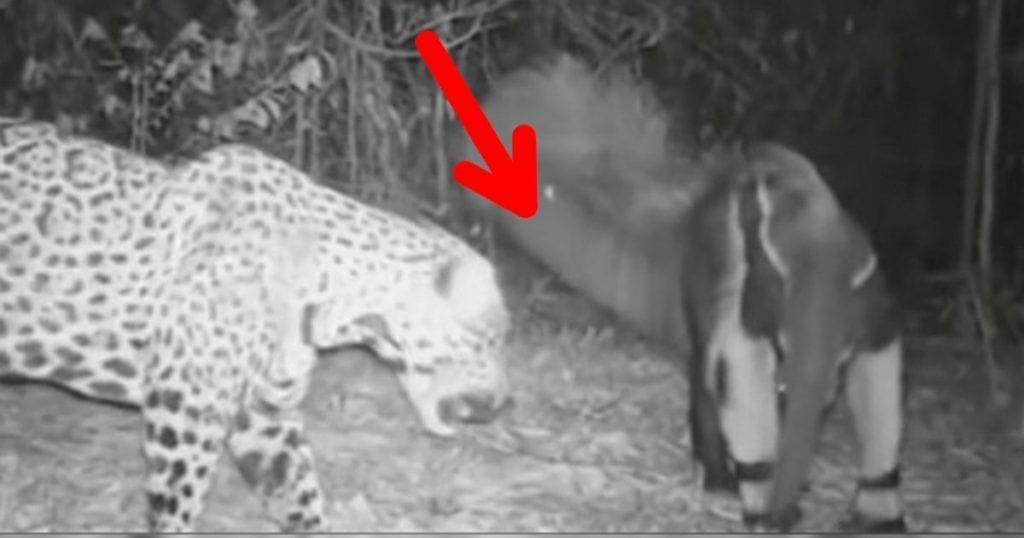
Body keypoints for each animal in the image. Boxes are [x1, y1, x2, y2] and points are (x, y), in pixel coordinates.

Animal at [0, 118, 512, 532]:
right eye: (490, 340)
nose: (507, 403)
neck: (334, 296)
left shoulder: (264, 412)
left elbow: (298, 493)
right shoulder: (186, 410)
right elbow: (176, 509)